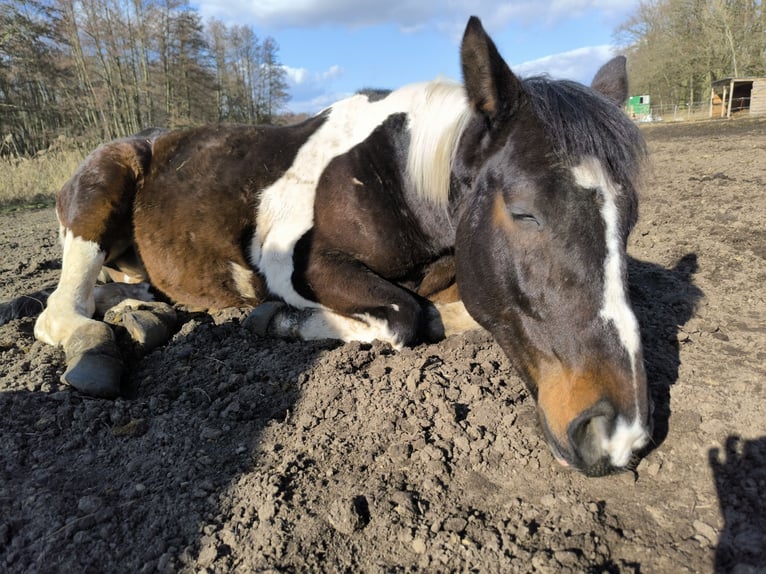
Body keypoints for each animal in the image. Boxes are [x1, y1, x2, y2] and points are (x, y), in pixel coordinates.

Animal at [26, 16, 651, 476]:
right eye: (523, 212)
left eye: (630, 221)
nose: (615, 433)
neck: (394, 177)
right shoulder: (302, 266)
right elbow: (404, 316)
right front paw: (278, 321)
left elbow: (449, 313)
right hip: (99, 193)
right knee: (60, 309)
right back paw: (99, 346)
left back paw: (143, 314)